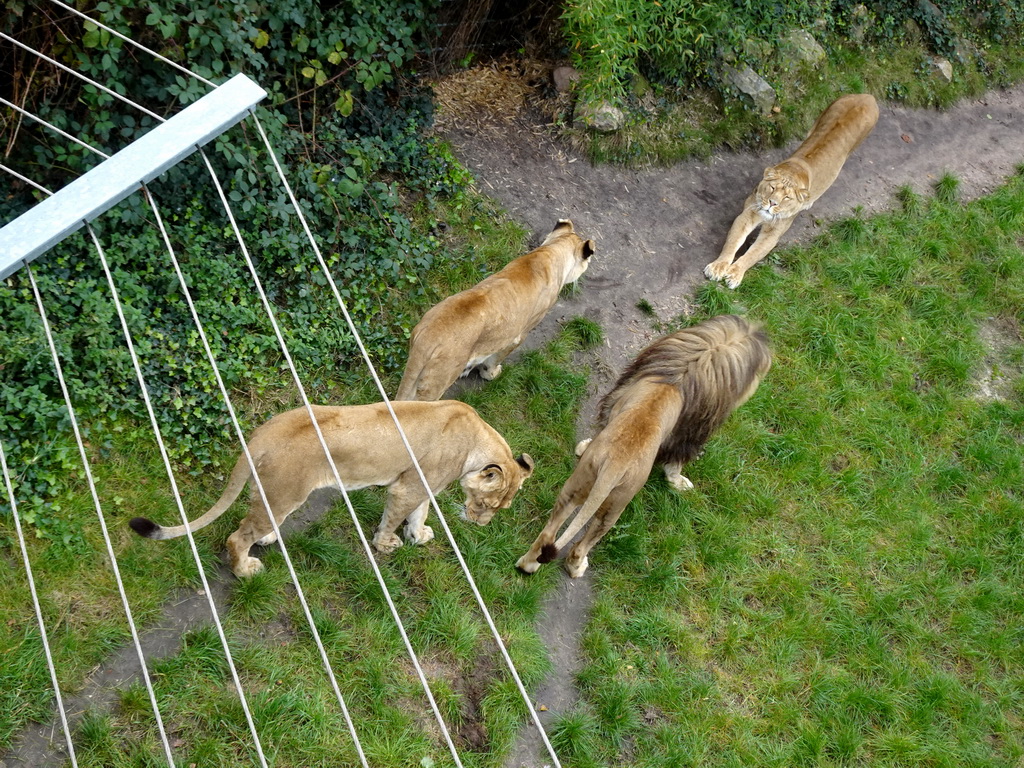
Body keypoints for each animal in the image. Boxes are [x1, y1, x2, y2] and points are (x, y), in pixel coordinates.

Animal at [516, 317, 770, 577]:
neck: (679, 378)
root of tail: (614, 465)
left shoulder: (617, 399)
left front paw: (584, 446)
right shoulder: (685, 435)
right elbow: (675, 463)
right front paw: (679, 482)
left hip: (576, 487)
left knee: (548, 534)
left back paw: (527, 565)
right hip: (616, 506)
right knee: (583, 544)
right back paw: (576, 566)